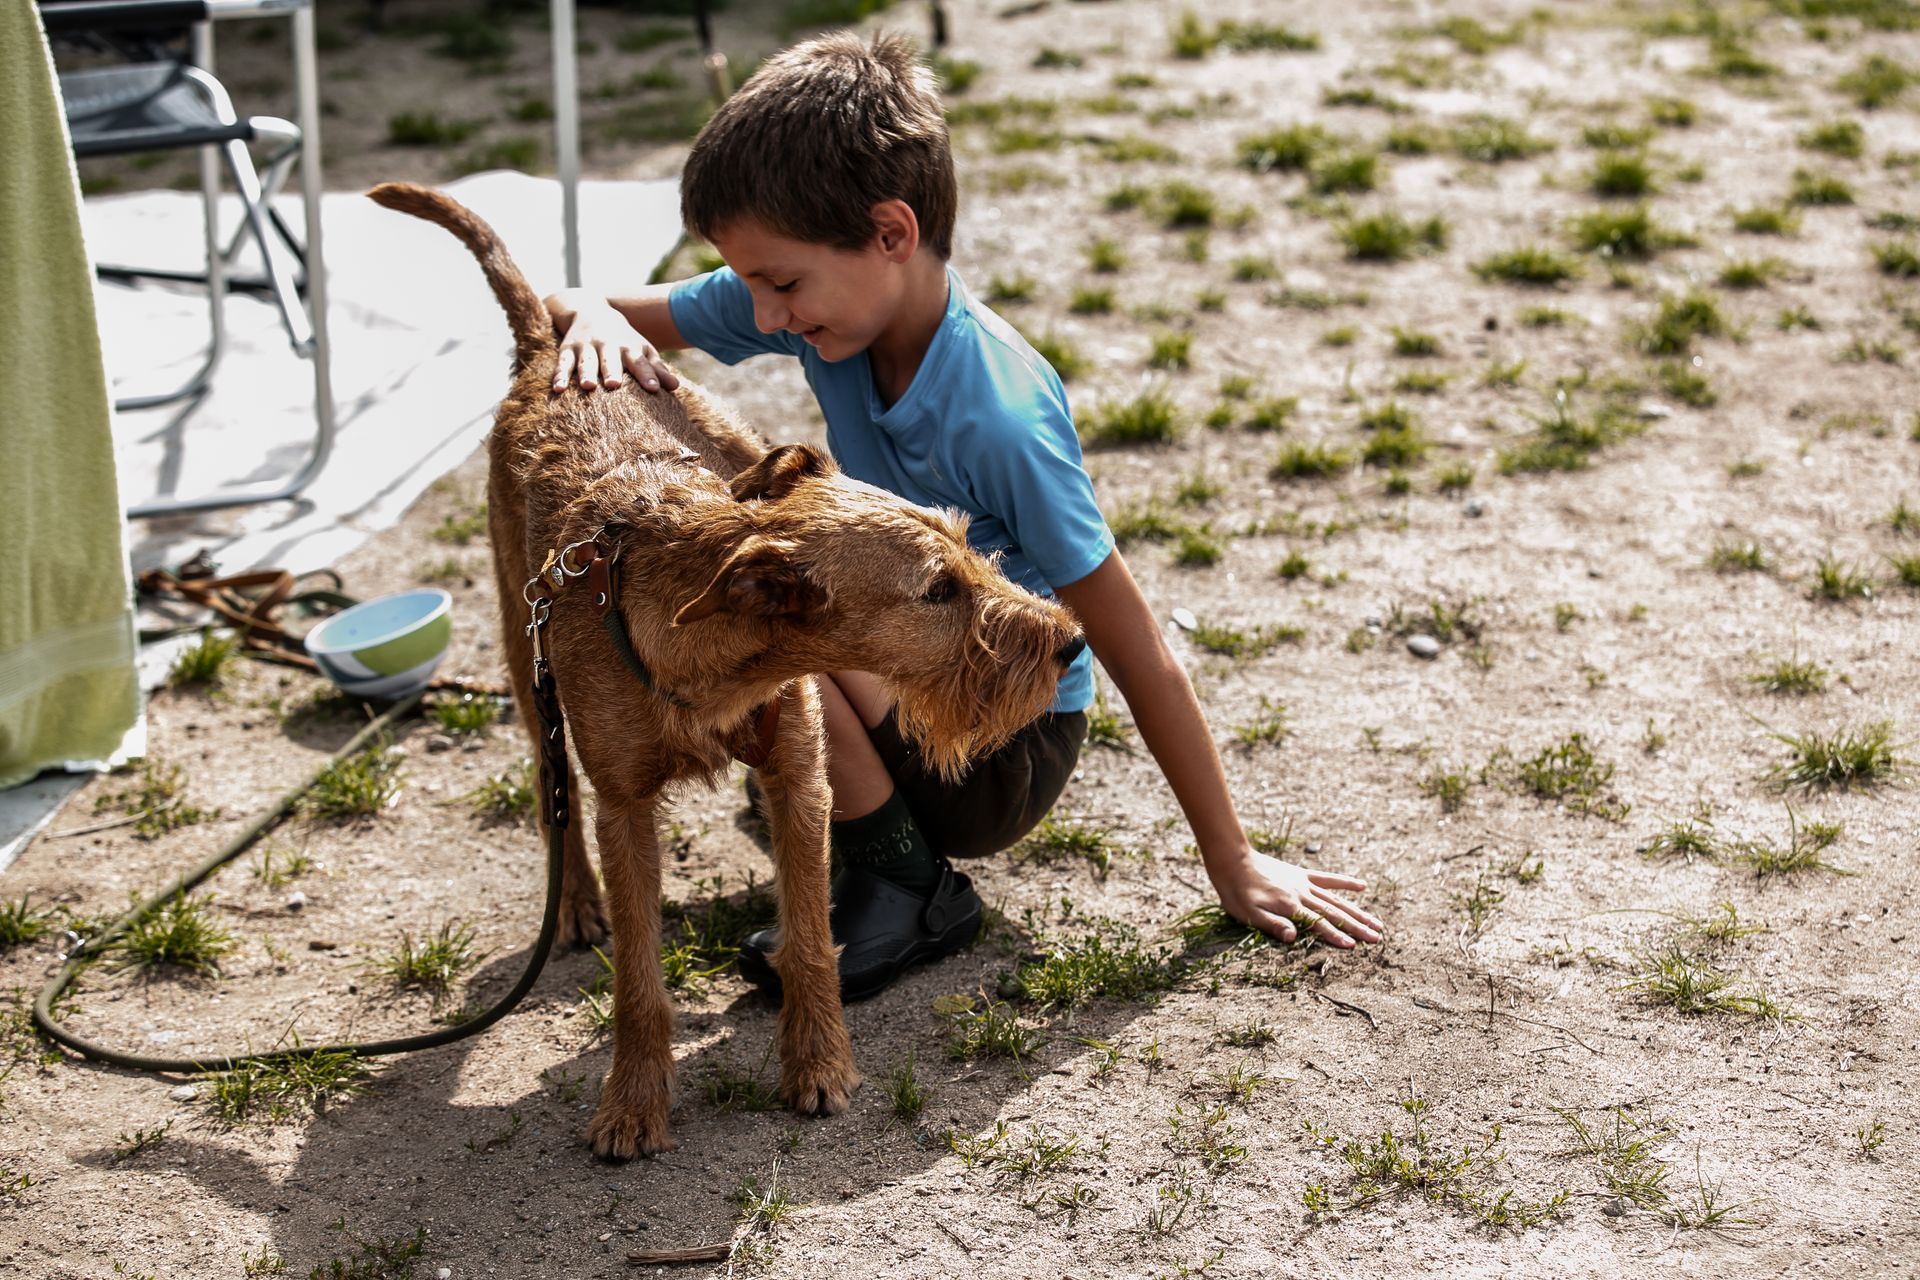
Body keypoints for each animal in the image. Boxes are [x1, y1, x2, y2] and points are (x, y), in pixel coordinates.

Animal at [367, 183, 1084, 1159]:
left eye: (971, 545)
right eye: (937, 588)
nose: (1070, 640)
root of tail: (547, 346)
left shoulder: (799, 773)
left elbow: (811, 938)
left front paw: (818, 1064)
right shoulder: (626, 809)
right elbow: (638, 979)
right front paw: (633, 1104)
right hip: (523, 653)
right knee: (551, 788)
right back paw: (575, 903)